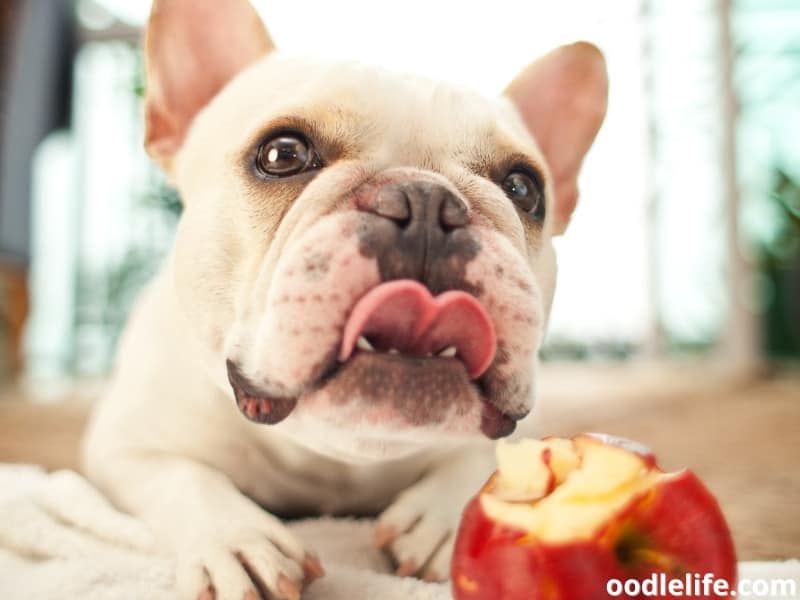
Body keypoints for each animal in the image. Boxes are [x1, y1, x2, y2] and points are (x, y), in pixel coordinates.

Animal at [83, 2, 608, 596]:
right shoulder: (124, 444)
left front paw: (450, 521)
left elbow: (489, 454)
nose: (426, 202)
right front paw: (237, 540)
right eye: (282, 154)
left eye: (523, 188)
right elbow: (183, 477)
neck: (339, 453)